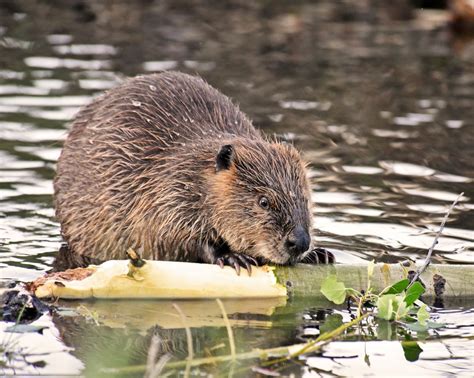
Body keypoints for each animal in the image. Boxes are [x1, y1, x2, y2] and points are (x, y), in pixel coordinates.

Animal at [53, 71, 334, 274]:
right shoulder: (165, 194)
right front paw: (233, 257)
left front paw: (319, 254)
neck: (198, 173)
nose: (299, 242)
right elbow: (171, 238)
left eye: (306, 198)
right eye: (263, 201)